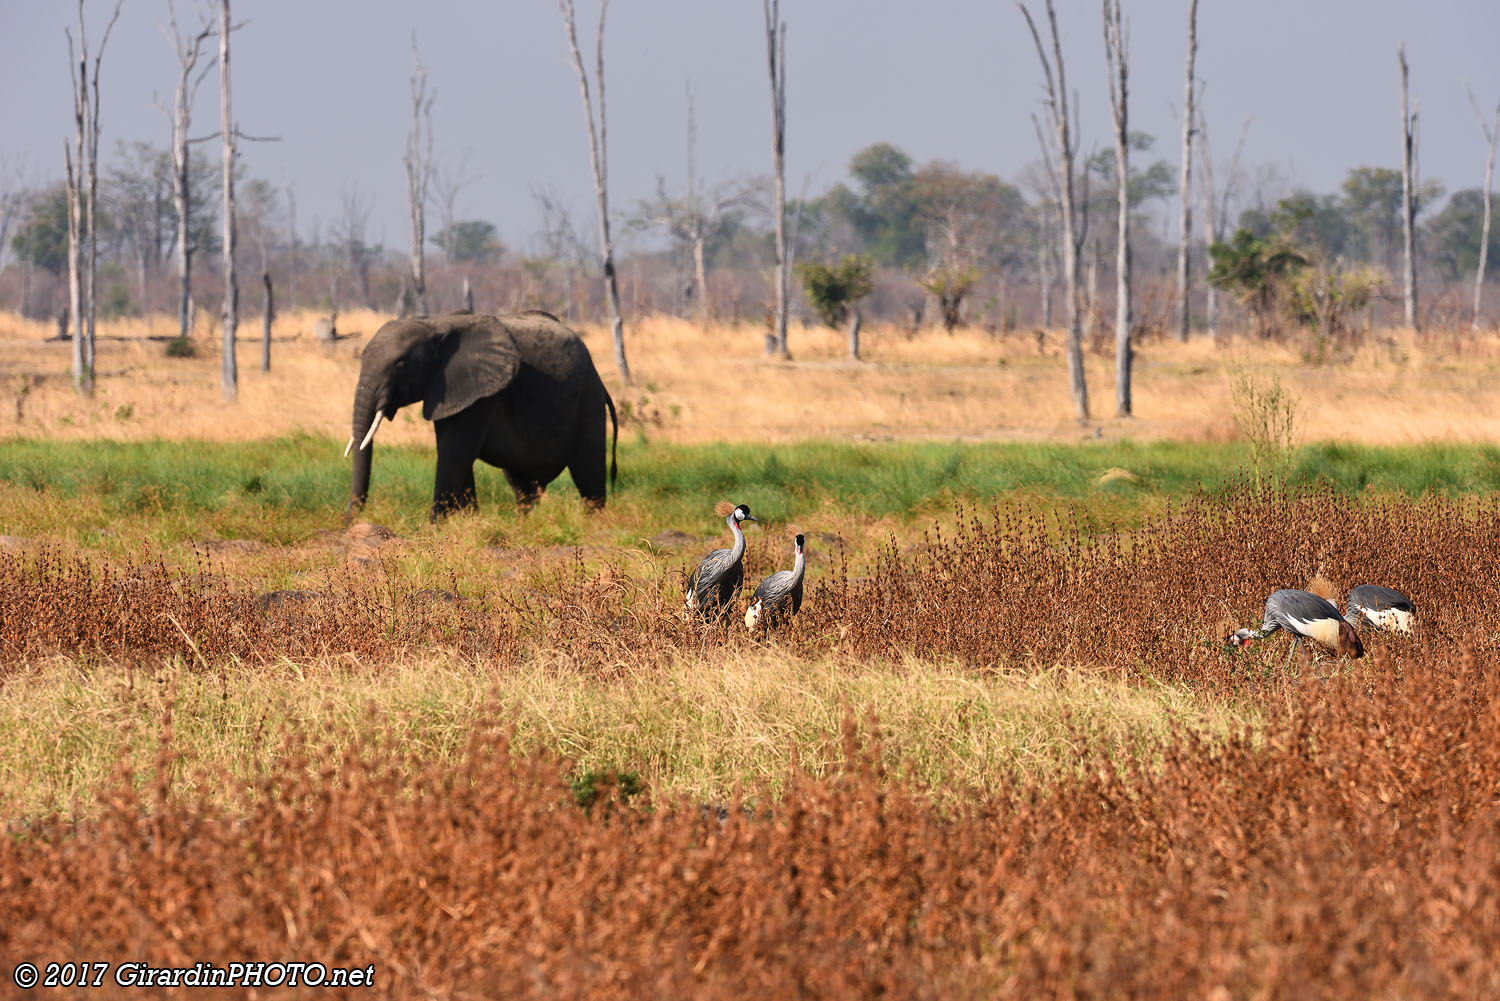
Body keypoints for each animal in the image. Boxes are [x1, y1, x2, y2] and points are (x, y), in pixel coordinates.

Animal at [345, 310, 615, 516]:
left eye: (400, 365)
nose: (350, 521)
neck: (436, 324)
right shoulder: (449, 390)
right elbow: (456, 453)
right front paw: (467, 520)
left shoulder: (480, 393)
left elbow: (454, 452)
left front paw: (437, 526)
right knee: (524, 485)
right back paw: (523, 521)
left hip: (588, 399)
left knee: (588, 474)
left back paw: (591, 523)